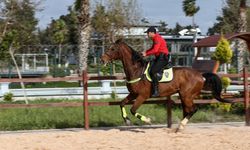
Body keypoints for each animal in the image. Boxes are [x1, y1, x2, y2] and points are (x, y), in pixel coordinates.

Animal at [100, 39, 231, 132]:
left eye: (112, 48)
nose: (102, 59)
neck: (137, 70)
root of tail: (201, 75)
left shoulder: (142, 96)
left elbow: (133, 109)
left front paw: (148, 120)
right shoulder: (133, 94)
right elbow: (121, 103)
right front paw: (127, 121)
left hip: (187, 95)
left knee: (193, 109)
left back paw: (181, 126)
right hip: (184, 96)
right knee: (188, 110)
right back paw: (180, 127)